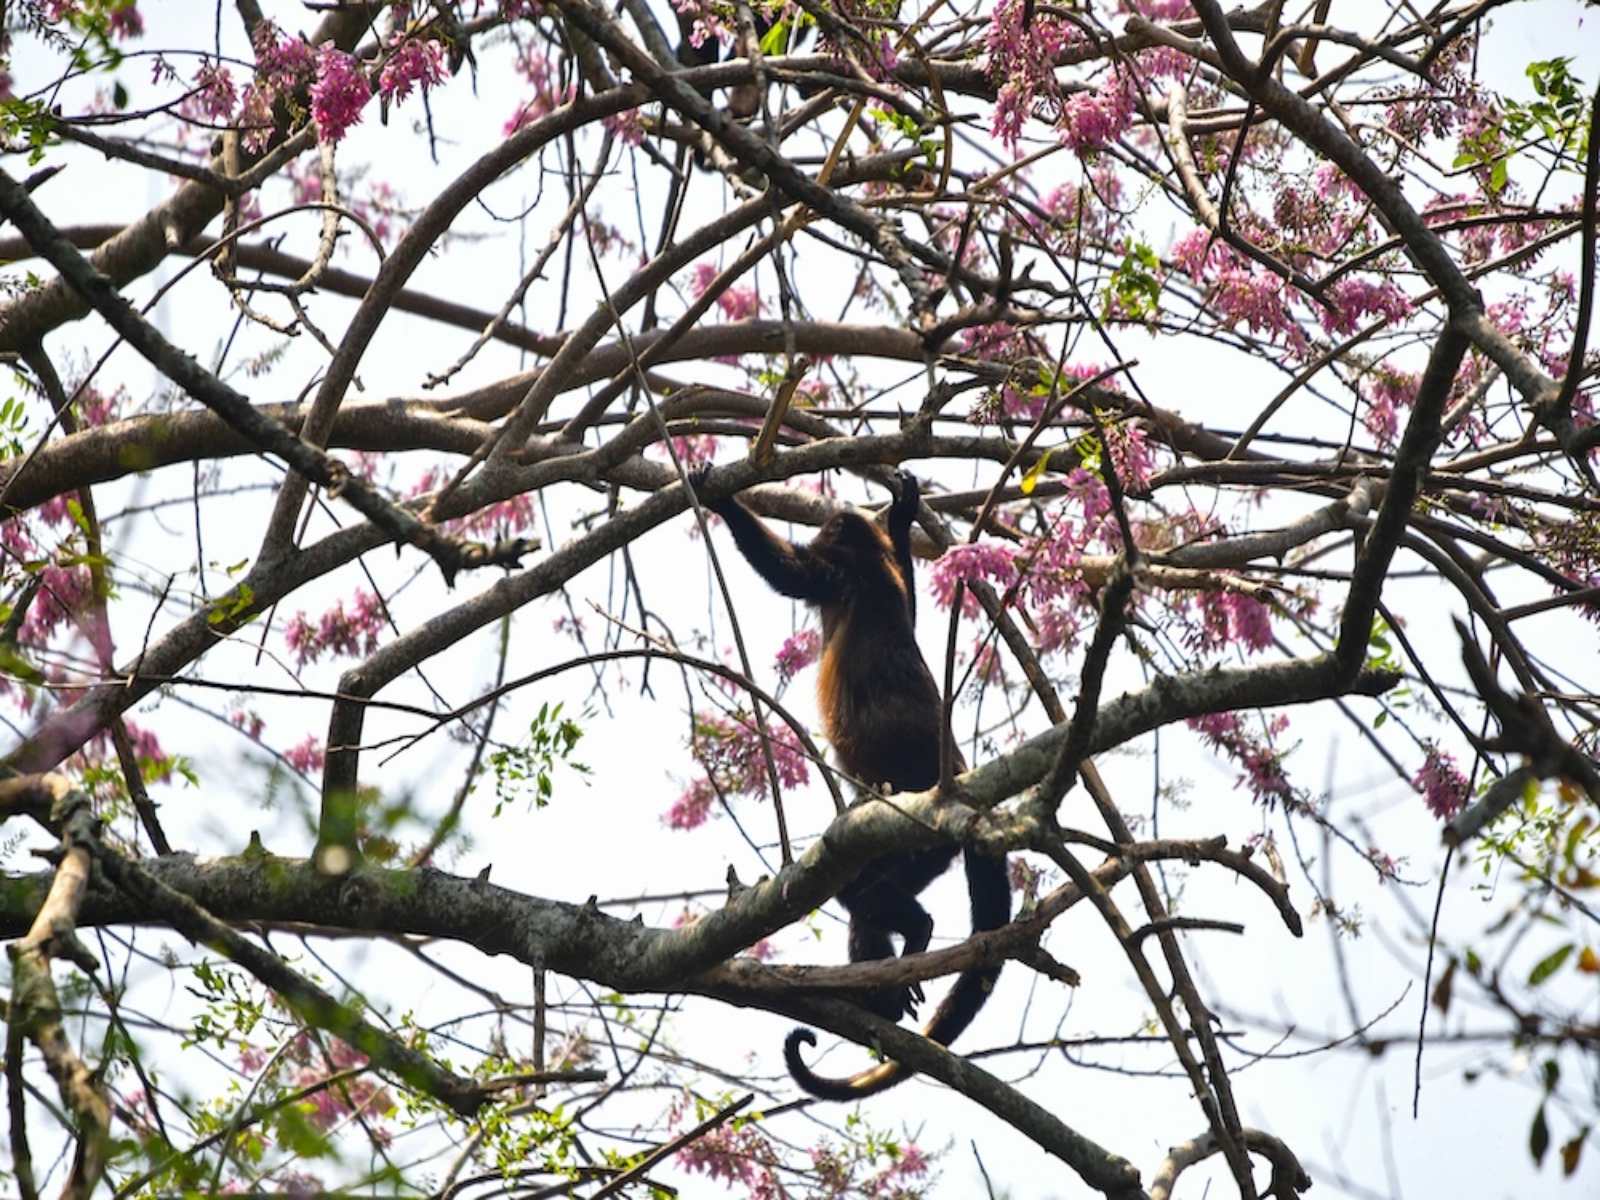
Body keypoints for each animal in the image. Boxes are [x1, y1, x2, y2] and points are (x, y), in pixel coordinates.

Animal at [690, 467, 1011, 1099]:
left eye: (828, 530)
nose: (827, 525)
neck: (868, 559)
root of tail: (959, 782)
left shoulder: (839, 572)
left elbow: (788, 570)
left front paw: (722, 500)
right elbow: (910, 604)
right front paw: (903, 513)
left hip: (919, 839)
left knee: (863, 895)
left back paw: (916, 934)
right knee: (864, 902)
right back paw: (883, 996)